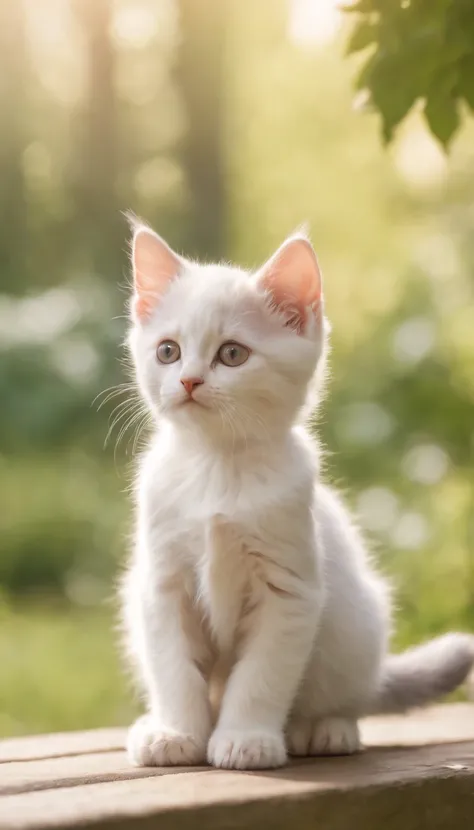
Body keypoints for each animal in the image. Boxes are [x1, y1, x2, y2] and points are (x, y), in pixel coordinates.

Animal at [123, 223, 474, 772]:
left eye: (232, 354)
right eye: (167, 351)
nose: (189, 380)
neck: (218, 468)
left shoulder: (290, 590)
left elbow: (260, 676)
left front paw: (245, 739)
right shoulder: (161, 585)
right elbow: (174, 670)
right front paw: (176, 733)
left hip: (355, 624)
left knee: (346, 697)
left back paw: (324, 728)